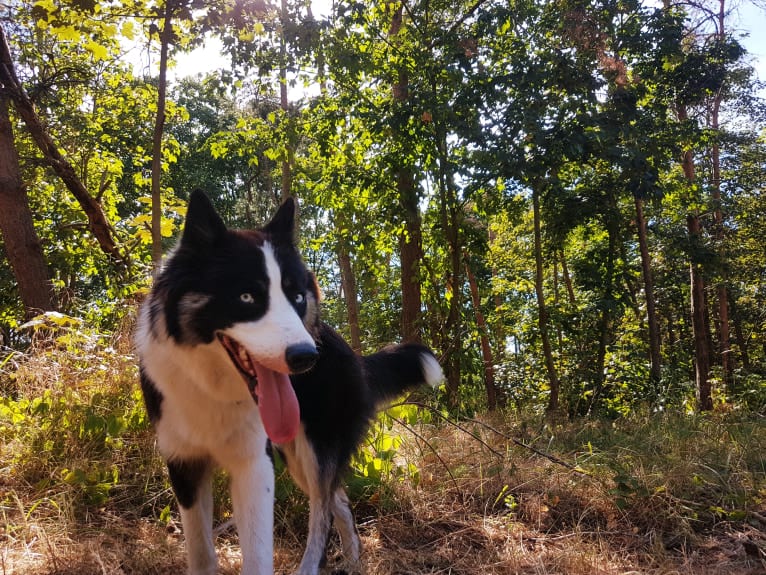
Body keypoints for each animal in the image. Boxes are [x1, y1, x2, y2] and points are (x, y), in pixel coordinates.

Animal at [138, 190, 444, 575]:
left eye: (298, 297)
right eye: (247, 297)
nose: (306, 357)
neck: (213, 390)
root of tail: (353, 356)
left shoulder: (254, 465)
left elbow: (257, 556)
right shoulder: (184, 463)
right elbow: (201, 553)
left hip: (314, 452)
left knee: (322, 512)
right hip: (296, 457)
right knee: (337, 501)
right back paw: (353, 559)